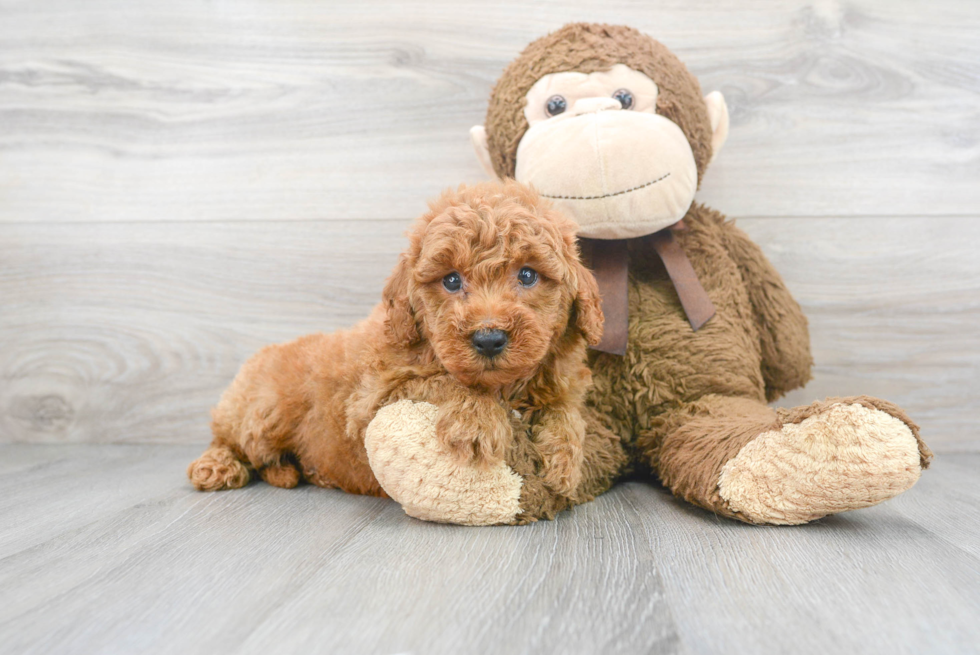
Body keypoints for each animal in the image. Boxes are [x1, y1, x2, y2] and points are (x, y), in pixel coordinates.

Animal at [189, 182, 604, 500]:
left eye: (528, 275)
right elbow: (442, 380)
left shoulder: (560, 381)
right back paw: (215, 466)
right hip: (259, 412)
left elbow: (566, 411)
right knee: (228, 438)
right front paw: (477, 420)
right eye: (451, 280)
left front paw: (565, 464)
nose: (489, 339)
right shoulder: (373, 399)